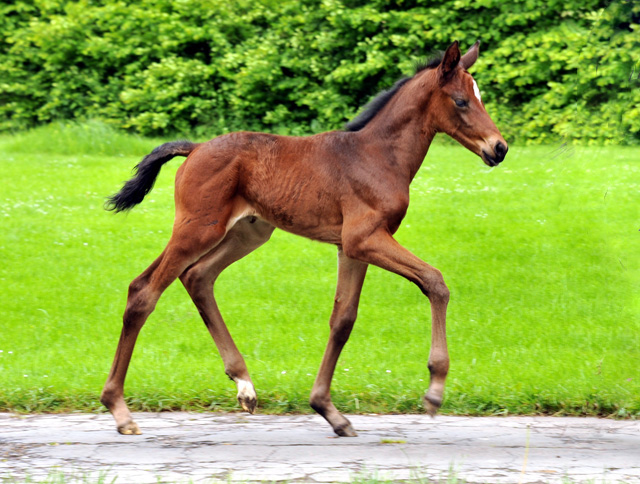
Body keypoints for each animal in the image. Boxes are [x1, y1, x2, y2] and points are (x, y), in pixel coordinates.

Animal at [102, 40, 508, 434]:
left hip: (245, 232)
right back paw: (119, 409)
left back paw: (244, 385)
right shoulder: (364, 239)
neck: (378, 156)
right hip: (199, 228)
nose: (499, 148)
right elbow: (434, 281)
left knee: (195, 276)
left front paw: (328, 410)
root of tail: (196, 148)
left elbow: (343, 320)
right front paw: (434, 390)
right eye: (461, 101)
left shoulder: (351, 248)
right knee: (145, 292)